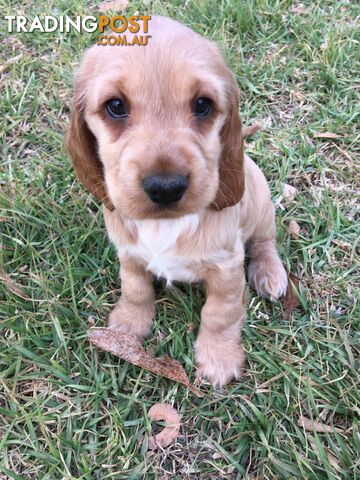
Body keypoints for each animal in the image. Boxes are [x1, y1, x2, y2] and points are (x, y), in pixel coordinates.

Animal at [66, 15, 288, 386]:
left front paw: (219, 358)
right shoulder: (129, 255)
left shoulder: (227, 267)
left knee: (264, 241)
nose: (166, 187)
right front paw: (126, 328)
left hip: (261, 203)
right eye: (115, 106)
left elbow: (220, 313)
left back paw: (270, 274)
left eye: (202, 104)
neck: (165, 225)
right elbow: (135, 289)